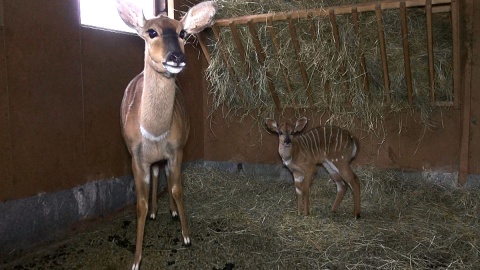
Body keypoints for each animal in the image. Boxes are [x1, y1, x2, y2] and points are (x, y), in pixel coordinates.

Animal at [115, 1, 217, 268]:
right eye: (151, 32)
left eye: (182, 33)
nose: (177, 57)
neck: (155, 133)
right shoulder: (136, 157)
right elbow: (139, 204)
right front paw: (136, 259)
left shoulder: (177, 150)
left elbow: (176, 188)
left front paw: (186, 236)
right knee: (156, 173)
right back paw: (153, 212)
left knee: (165, 175)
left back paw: (168, 211)